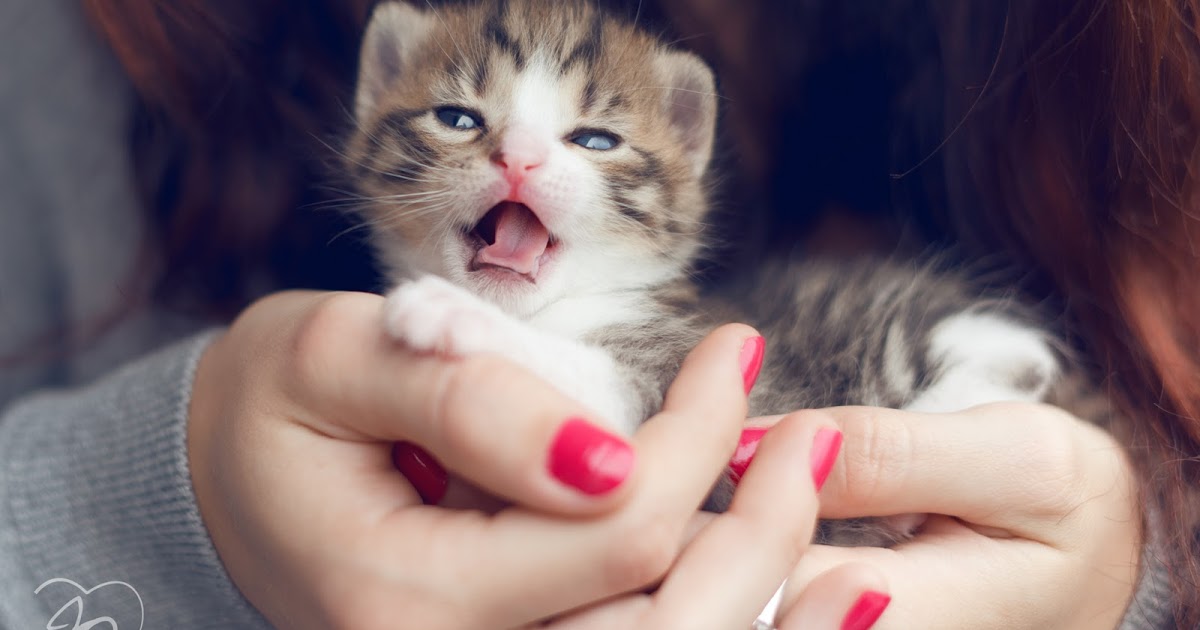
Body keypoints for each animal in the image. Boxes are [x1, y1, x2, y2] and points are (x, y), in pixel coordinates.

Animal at [348, 0, 1080, 542]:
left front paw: (450, 314)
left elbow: (596, 382)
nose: (519, 159)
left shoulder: (699, 376)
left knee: (1021, 357)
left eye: (594, 140)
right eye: (457, 119)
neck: (554, 305)